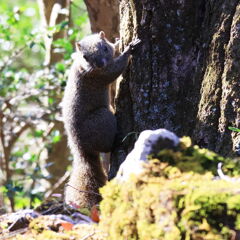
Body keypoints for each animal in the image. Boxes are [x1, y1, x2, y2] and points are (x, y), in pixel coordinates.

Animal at [62, 31, 142, 207]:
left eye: (104, 47)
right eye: (85, 56)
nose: (99, 64)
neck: (84, 68)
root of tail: (81, 148)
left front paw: (118, 43)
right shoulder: (100, 75)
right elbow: (115, 70)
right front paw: (129, 49)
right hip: (103, 118)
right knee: (107, 146)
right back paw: (118, 140)